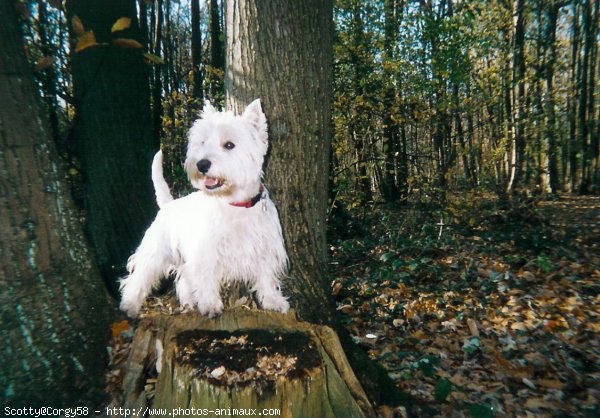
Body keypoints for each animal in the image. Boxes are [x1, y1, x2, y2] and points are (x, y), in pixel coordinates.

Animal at [119, 100, 288, 316]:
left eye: (229, 145)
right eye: (202, 142)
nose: (202, 164)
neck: (234, 204)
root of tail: (168, 204)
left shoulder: (264, 248)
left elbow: (266, 276)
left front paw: (274, 302)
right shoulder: (205, 251)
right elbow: (206, 278)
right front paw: (210, 305)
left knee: (183, 278)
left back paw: (188, 302)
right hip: (155, 251)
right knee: (139, 276)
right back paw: (129, 305)